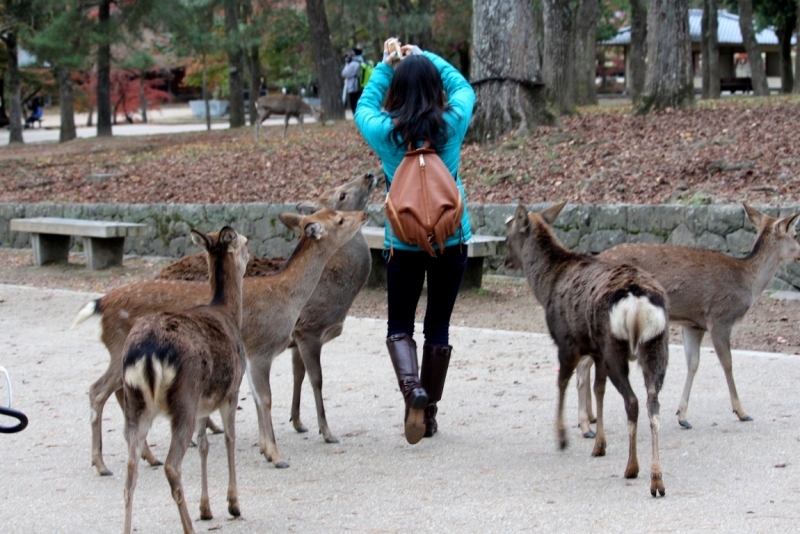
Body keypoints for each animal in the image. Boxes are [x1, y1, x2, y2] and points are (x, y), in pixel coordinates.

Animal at [75, 209, 368, 478]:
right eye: (340, 219)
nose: (363, 214)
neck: (287, 297)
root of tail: (100, 304)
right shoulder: (262, 349)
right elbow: (266, 398)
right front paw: (276, 456)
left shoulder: (250, 356)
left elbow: (257, 397)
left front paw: (264, 449)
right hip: (120, 350)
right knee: (97, 390)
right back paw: (101, 464)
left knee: (117, 393)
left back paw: (149, 456)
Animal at [120, 227, 247, 534]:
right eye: (245, 242)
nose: (251, 255)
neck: (229, 313)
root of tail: (148, 353)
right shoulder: (231, 391)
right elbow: (229, 438)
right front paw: (233, 504)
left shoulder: (203, 403)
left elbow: (203, 445)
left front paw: (206, 509)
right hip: (183, 399)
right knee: (171, 466)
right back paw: (189, 527)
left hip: (136, 405)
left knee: (130, 472)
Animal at [159, 174, 382, 446]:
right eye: (341, 195)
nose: (369, 175)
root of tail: (160, 273)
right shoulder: (310, 328)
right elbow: (316, 379)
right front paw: (326, 431)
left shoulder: (296, 337)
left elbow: (298, 375)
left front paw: (297, 421)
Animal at [506, 203, 668, 500]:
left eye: (506, 233)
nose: (506, 261)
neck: (546, 287)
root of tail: (637, 301)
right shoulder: (597, 351)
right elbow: (598, 390)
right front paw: (599, 443)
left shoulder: (566, 341)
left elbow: (562, 383)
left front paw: (561, 437)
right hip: (655, 345)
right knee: (653, 403)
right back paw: (656, 478)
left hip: (616, 346)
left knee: (632, 401)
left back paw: (632, 467)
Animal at [576, 204, 800, 436]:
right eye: (795, 234)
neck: (748, 282)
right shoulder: (720, 318)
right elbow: (727, 363)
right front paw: (741, 412)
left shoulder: (693, 324)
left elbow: (693, 363)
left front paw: (682, 415)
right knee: (583, 364)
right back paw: (585, 425)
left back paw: (589, 419)